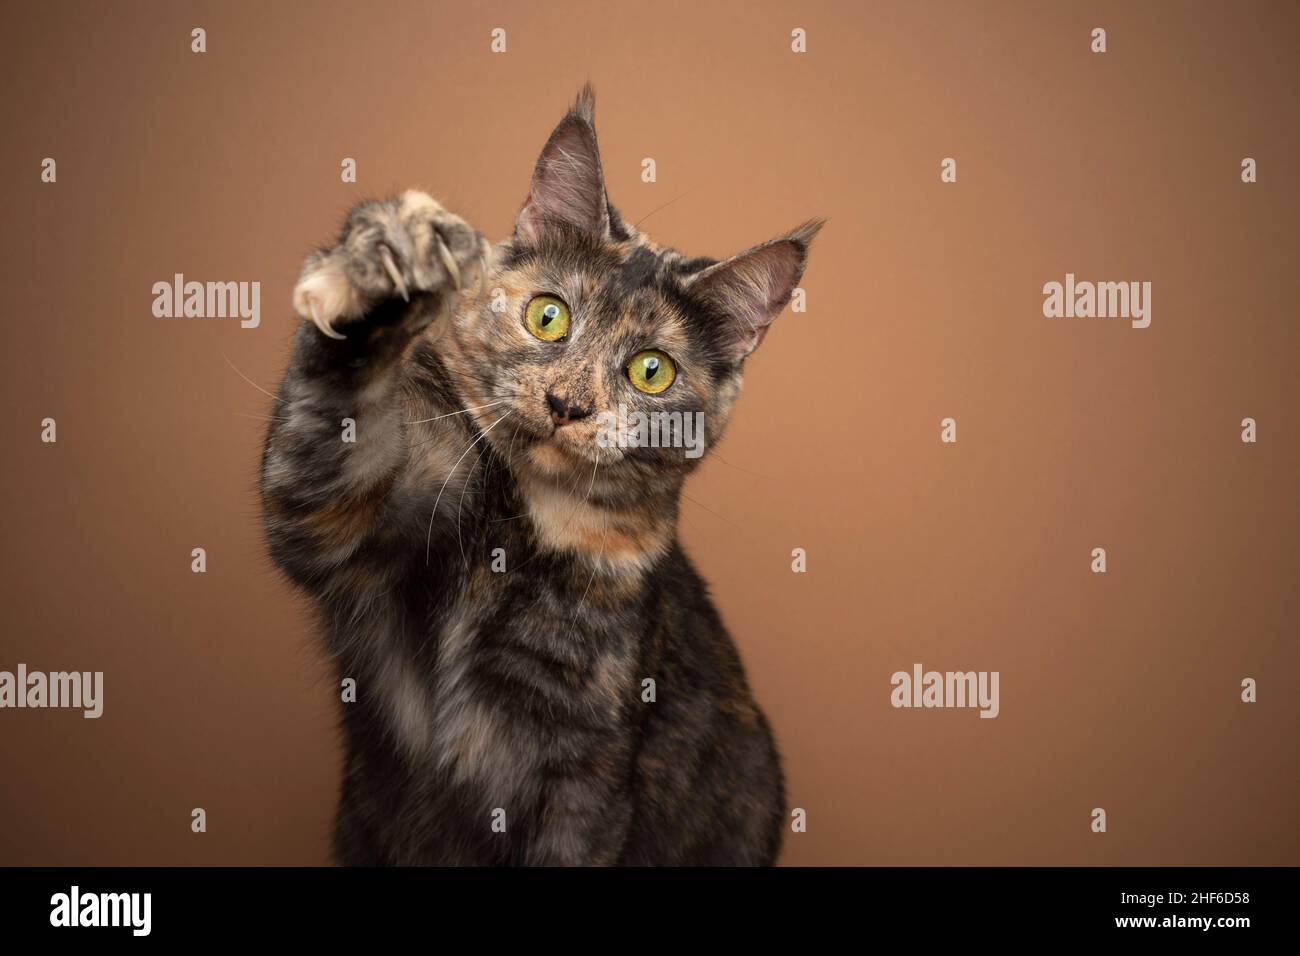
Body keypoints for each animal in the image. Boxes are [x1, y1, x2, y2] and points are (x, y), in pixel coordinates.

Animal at [258, 91, 816, 868]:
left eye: (651, 370)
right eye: (548, 316)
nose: (567, 404)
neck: (523, 533)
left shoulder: (583, 782)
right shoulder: (340, 514)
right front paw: (388, 262)